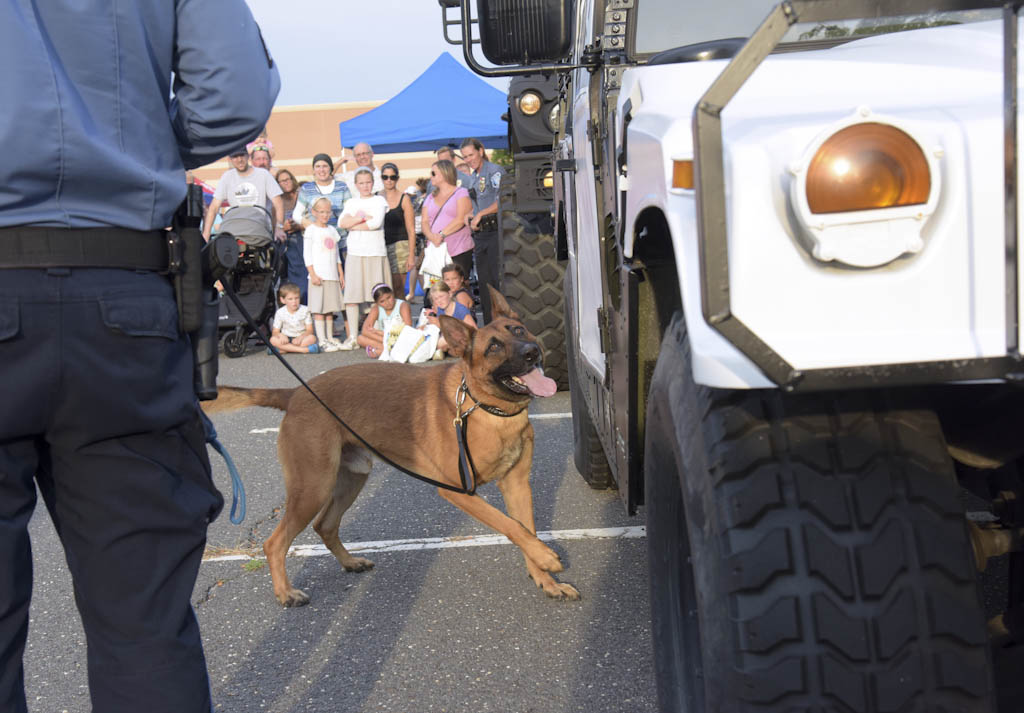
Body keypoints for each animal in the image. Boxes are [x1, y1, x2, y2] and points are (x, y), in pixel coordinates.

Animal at [203, 286, 581, 602]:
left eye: (519, 331)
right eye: (493, 347)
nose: (531, 352)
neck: (485, 409)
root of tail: (295, 393)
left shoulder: (517, 485)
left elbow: (524, 528)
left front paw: (545, 578)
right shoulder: (459, 491)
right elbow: (510, 526)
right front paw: (546, 557)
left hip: (350, 480)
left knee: (325, 525)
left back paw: (350, 563)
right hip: (313, 487)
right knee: (274, 542)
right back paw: (285, 593)